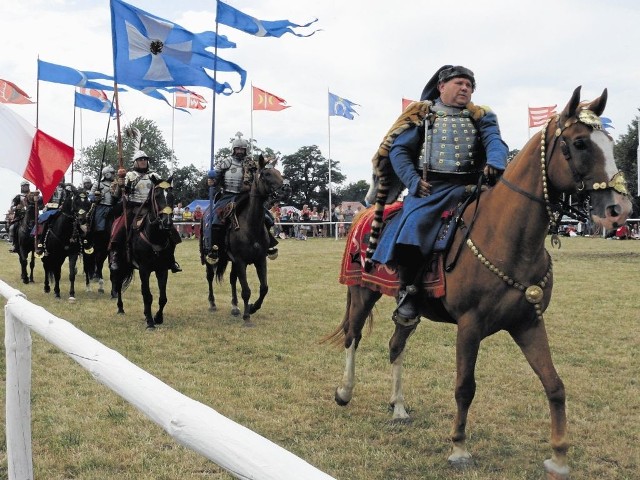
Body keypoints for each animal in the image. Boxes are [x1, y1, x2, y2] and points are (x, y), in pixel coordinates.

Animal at [110, 176, 175, 330]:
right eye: (157, 196)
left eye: (172, 195)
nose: (167, 222)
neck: (154, 235)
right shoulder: (144, 269)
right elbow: (147, 295)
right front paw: (150, 323)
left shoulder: (162, 269)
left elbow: (162, 297)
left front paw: (157, 317)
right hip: (120, 266)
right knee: (118, 284)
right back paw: (120, 308)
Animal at [204, 156, 284, 328]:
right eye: (266, 174)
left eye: (278, 172)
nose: (285, 188)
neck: (250, 225)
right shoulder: (240, 261)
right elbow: (246, 290)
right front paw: (247, 316)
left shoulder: (259, 260)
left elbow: (264, 288)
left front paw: (253, 308)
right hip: (208, 257)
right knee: (209, 276)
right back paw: (212, 303)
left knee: (232, 279)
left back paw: (235, 307)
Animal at [322, 87, 632, 480]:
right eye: (579, 143)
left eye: (610, 143)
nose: (619, 210)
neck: (507, 236)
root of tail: (364, 214)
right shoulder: (470, 326)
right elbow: (464, 387)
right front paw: (458, 448)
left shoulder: (528, 323)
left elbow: (554, 384)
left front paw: (559, 456)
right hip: (362, 292)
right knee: (353, 336)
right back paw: (344, 392)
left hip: (409, 310)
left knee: (395, 344)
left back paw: (399, 407)